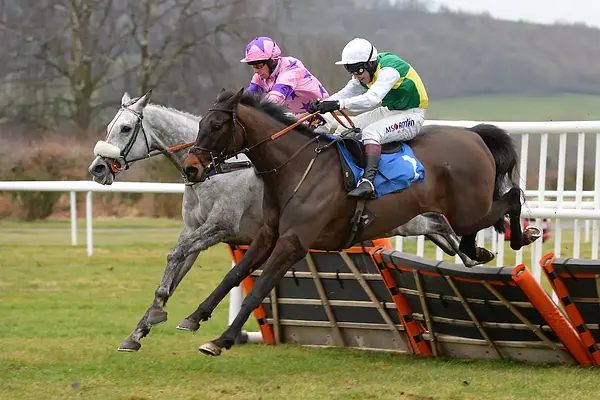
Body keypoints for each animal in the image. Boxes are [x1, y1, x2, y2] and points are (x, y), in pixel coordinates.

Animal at [181, 88, 541, 356]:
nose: (190, 168)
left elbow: (259, 288)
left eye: (216, 125)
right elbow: (234, 276)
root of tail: (474, 136)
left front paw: (222, 339)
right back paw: (476, 251)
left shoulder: (293, 242)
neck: (295, 167)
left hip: (470, 208)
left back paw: (521, 237)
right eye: (201, 124)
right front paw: (195, 317)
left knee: (512, 197)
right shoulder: (268, 235)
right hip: (465, 210)